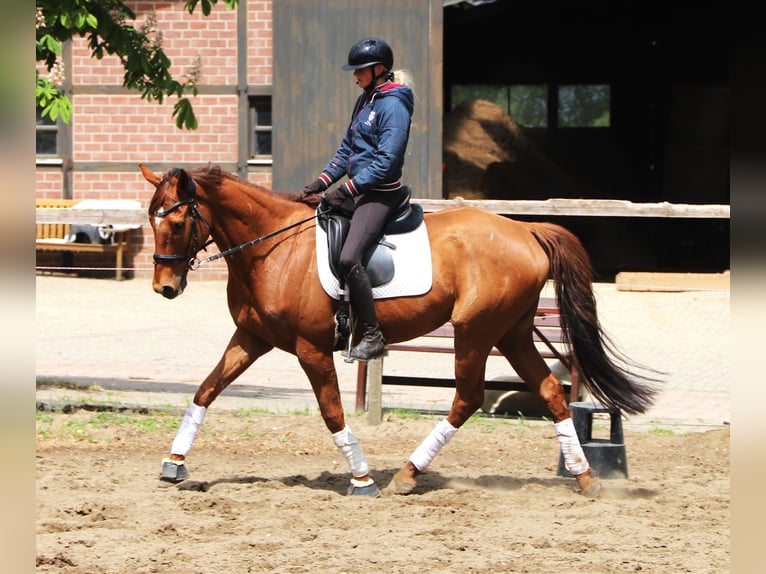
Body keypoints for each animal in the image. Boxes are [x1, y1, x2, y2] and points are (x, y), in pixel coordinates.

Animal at [140, 163, 657, 498]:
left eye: (179, 221)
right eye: (151, 219)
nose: (164, 287)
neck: (273, 250)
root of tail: (526, 232)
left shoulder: (311, 349)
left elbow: (332, 412)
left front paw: (362, 478)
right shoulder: (252, 340)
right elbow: (206, 391)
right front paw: (174, 463)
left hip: (475, 330)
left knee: (468, 397)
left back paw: (407, 475)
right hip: (510, 331)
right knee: (549, 389)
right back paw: (585, 477)